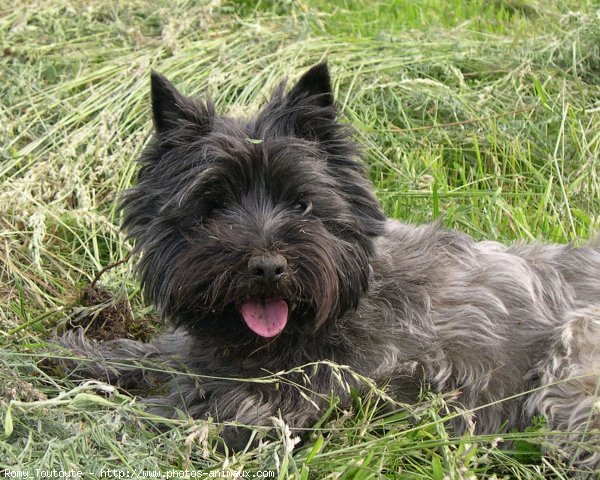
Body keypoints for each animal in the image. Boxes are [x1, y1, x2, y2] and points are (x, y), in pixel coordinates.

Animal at [61, 62, 600, 470]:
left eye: (302, 204)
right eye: (212, 207)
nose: (267, 268)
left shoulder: (272, 407)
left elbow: (161, 411)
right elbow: (158, 352)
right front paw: (77, 353)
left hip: (570, 366)